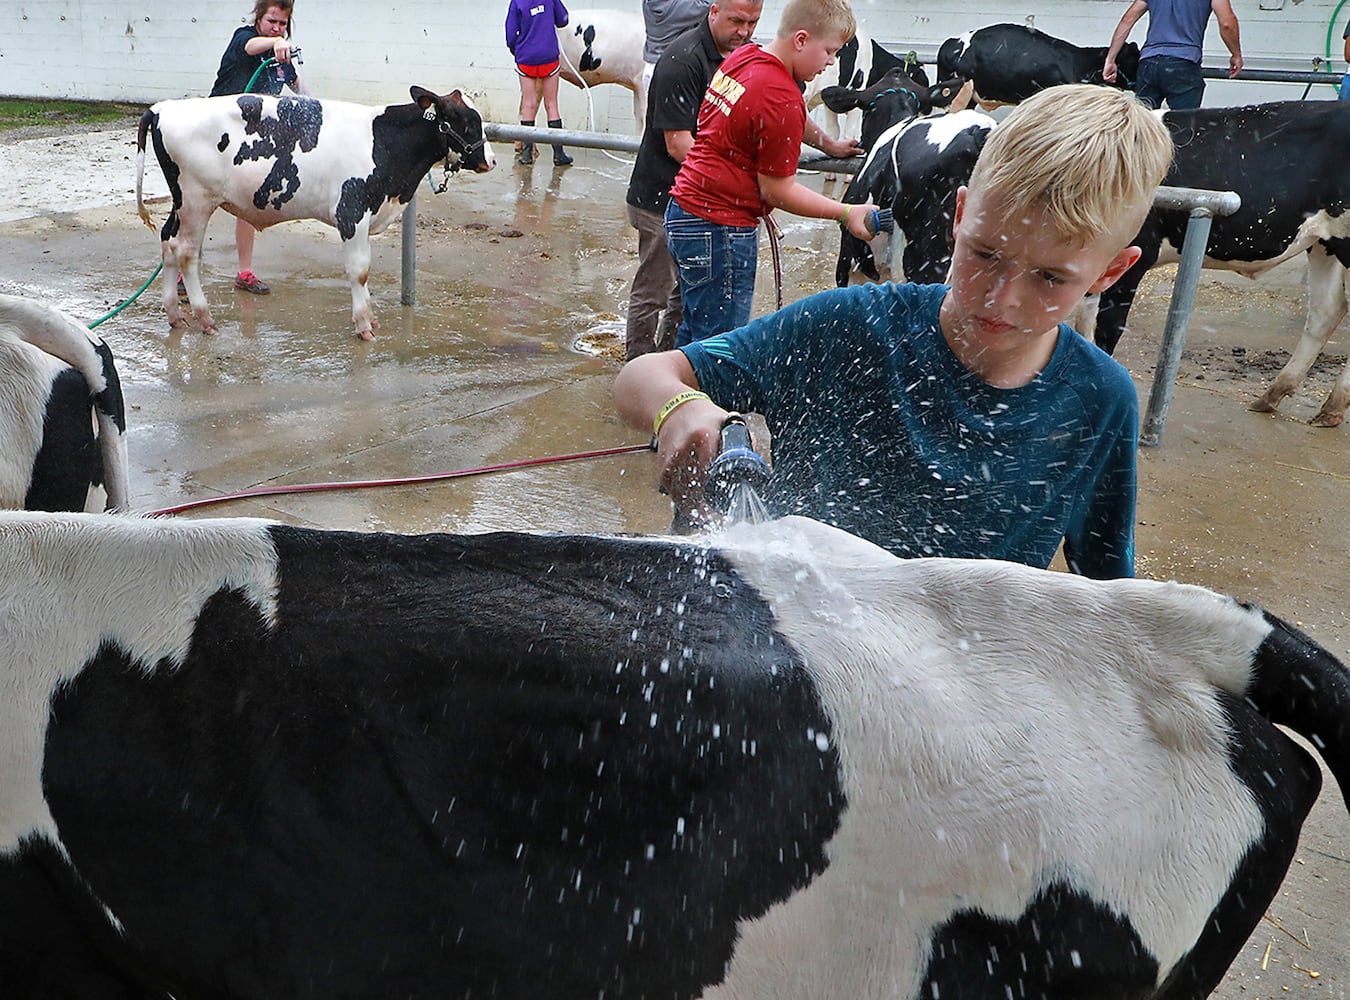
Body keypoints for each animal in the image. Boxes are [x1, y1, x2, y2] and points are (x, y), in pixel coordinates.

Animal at [135, 84, 496, 338]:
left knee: (167, 241)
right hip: (197, 201)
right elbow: (359, 270)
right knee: (185, 252)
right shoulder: (352, 212)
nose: (490, 160)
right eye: (469, 121)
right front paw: (363, 325)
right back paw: (204, 317)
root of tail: (162, 108)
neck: (384, 141)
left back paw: (174, 315)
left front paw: (370, 315)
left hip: (182, 203)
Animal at [1096, 100, 1350, 426]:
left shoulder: (1134, 259)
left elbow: (1104, 331)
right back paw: (1275, 397)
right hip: (1323, 242)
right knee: (1326, 310)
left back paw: (1330, 406)